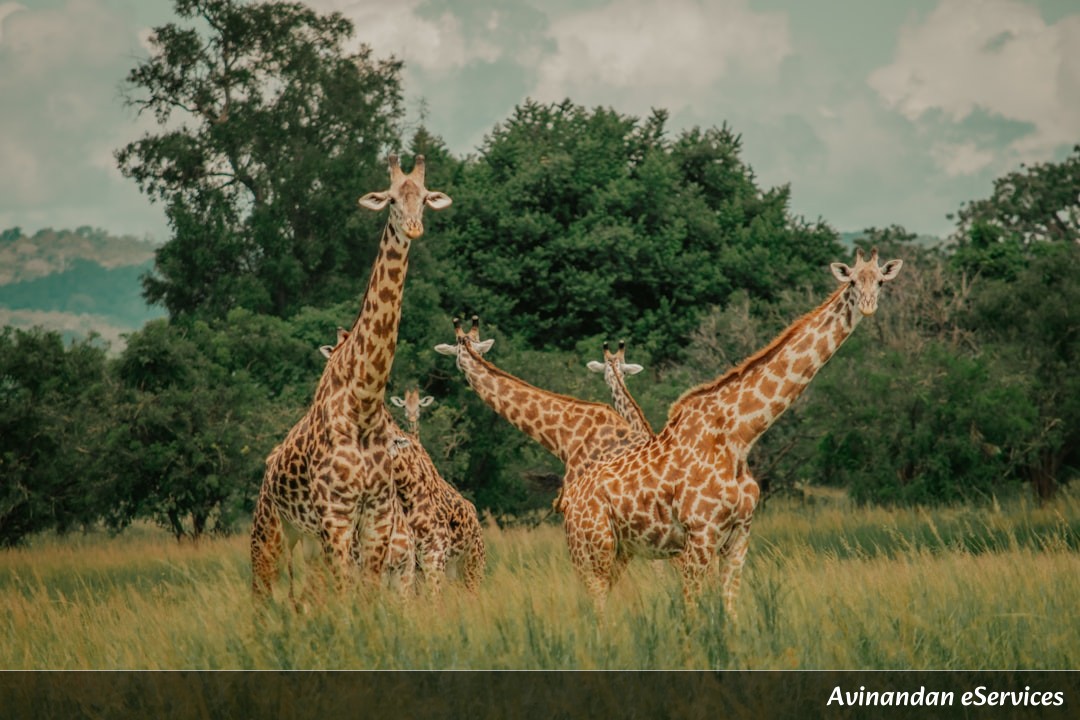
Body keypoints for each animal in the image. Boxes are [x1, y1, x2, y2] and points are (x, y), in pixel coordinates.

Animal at [250, 154, 451, 601]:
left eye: (425, 197)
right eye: (391, 198)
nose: (414, 227)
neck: (363, 401)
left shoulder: (375, 514)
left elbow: (370, 594)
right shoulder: (337, 515)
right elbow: (346, 593)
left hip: (306, 541)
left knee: (303, 597)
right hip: (271, 529)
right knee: (263, 591)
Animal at [561, 248, 903, 619]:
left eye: (880, 281)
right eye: (852, 280)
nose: (868, 306)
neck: (740, 435)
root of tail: (567, 499)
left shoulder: (739, 538)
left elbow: (730, 613)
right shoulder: (699, 537)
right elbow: (692, 616)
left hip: (617, 551)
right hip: (592, 548)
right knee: (596, 607)